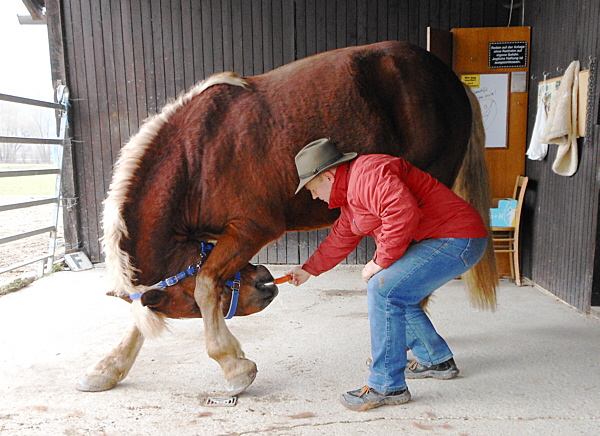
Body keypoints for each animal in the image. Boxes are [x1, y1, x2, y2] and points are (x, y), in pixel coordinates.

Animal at [76, 40, 496, 396]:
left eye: (188, 310)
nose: (265, 281)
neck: (196, 156)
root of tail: (454, 83)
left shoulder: (251, 228)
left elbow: (206, 284)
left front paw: (234, 366)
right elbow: (144, 314)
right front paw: (107, 369)